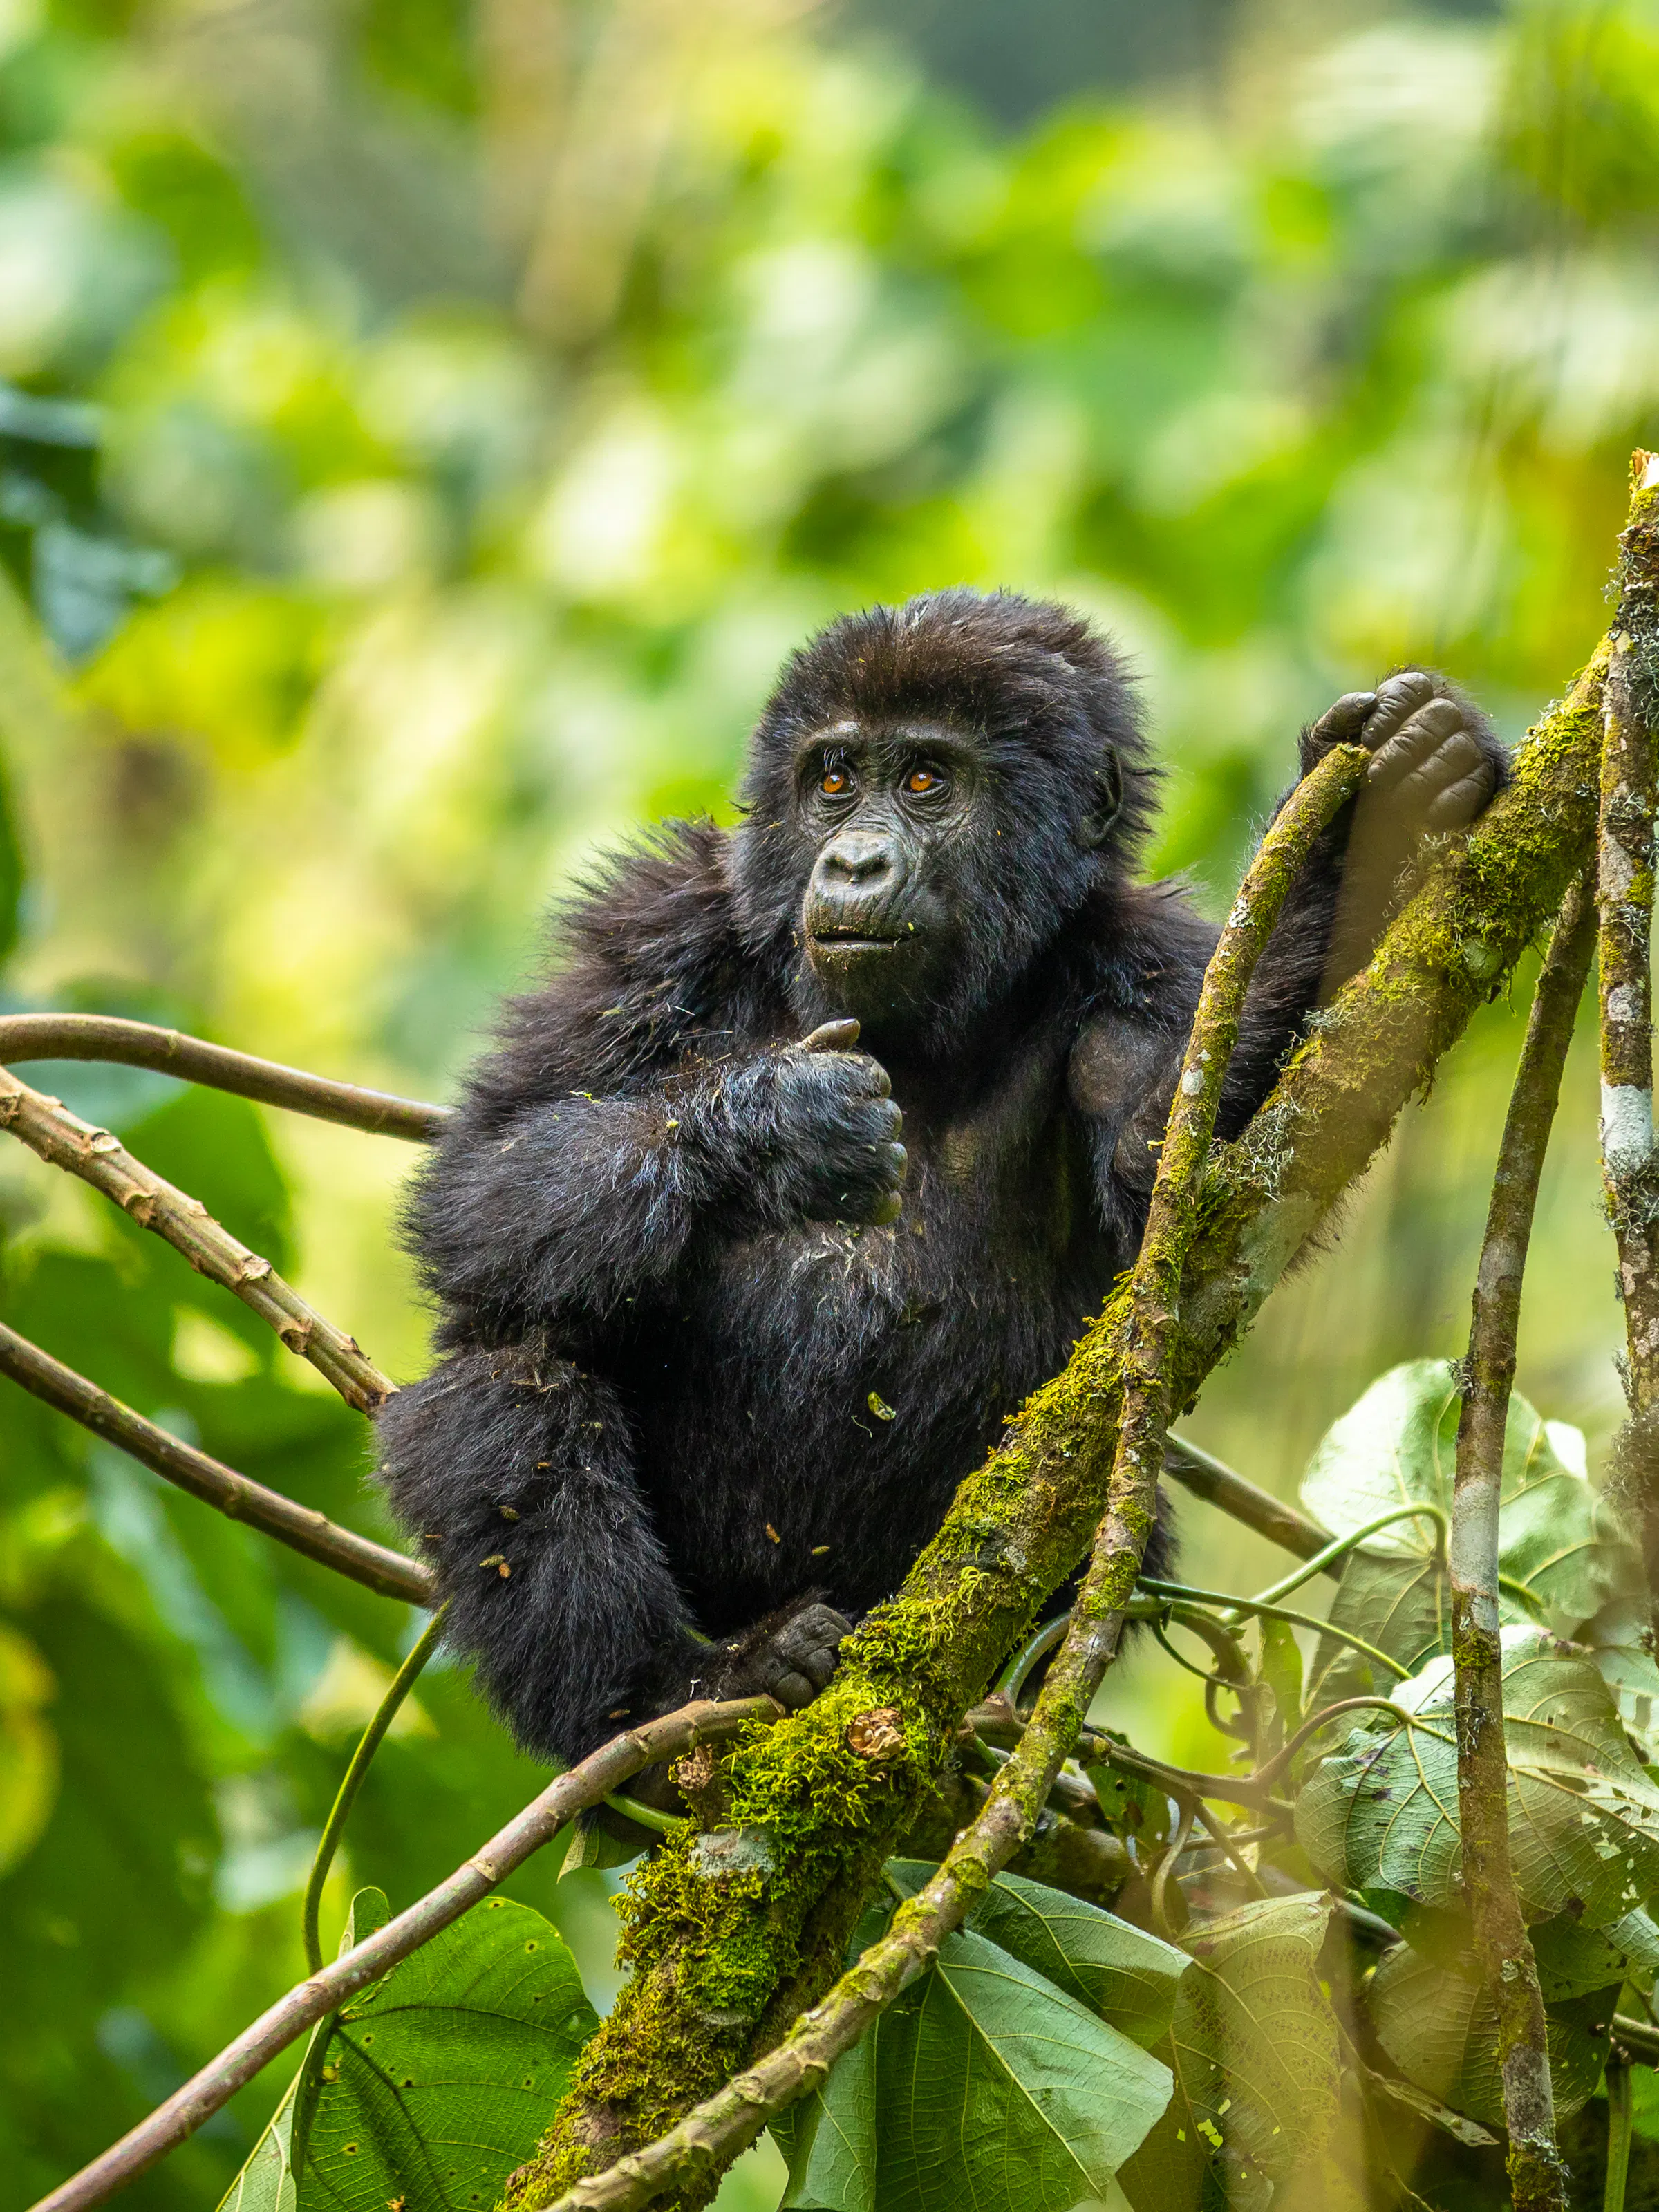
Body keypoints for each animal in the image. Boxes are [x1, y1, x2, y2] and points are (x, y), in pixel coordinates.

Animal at [375, 590, 1506, 1765]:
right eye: (834, 780)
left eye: (926, 781)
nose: (855, 864)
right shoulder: (652, 928)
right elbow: (486, 1177)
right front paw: (782, 1128)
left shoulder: (1151, 961)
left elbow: (1188, 1178)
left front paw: (1354, 839)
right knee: (511, 1364)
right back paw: (674, 1687)